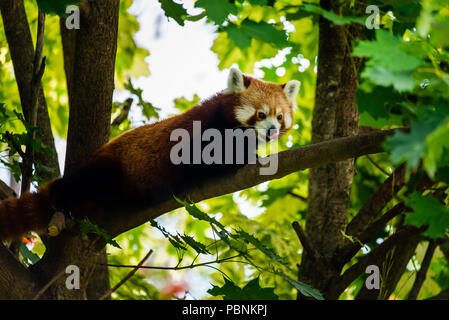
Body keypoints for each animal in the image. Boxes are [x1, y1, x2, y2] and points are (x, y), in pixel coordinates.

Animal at [0, 69, 300, 241]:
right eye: (260, 114)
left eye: (279, 116)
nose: (272, 130)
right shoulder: (199, 131)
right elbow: (201, 159)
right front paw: (230, 164)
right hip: (111, 166)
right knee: (85, 180)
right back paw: (61, 194)